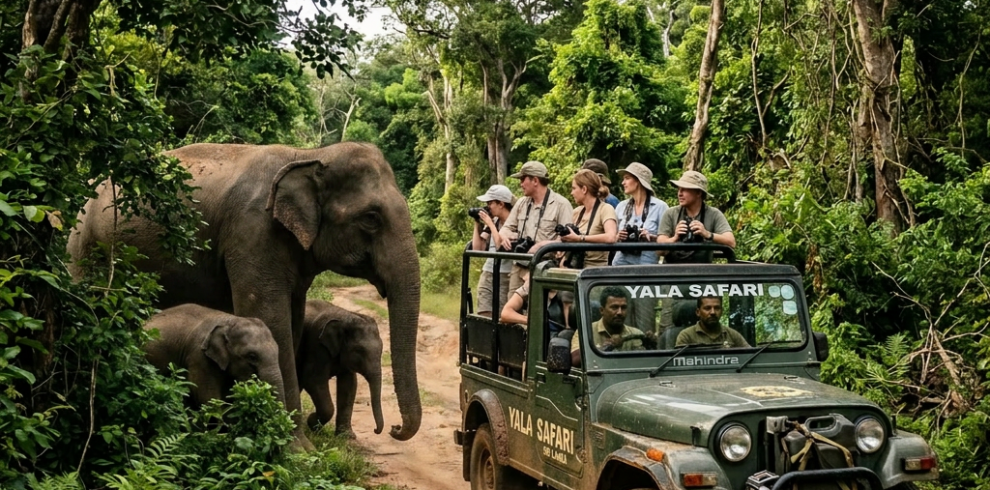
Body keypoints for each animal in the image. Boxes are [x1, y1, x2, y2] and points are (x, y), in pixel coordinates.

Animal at [298, 300, 384, 437]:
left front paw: (346, 436)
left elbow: (349, 384)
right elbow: (313, 380)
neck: (347, 316)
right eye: (358, 351)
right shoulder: (317, 345)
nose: (375, 430)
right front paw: (312, 423)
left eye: (381, 350)